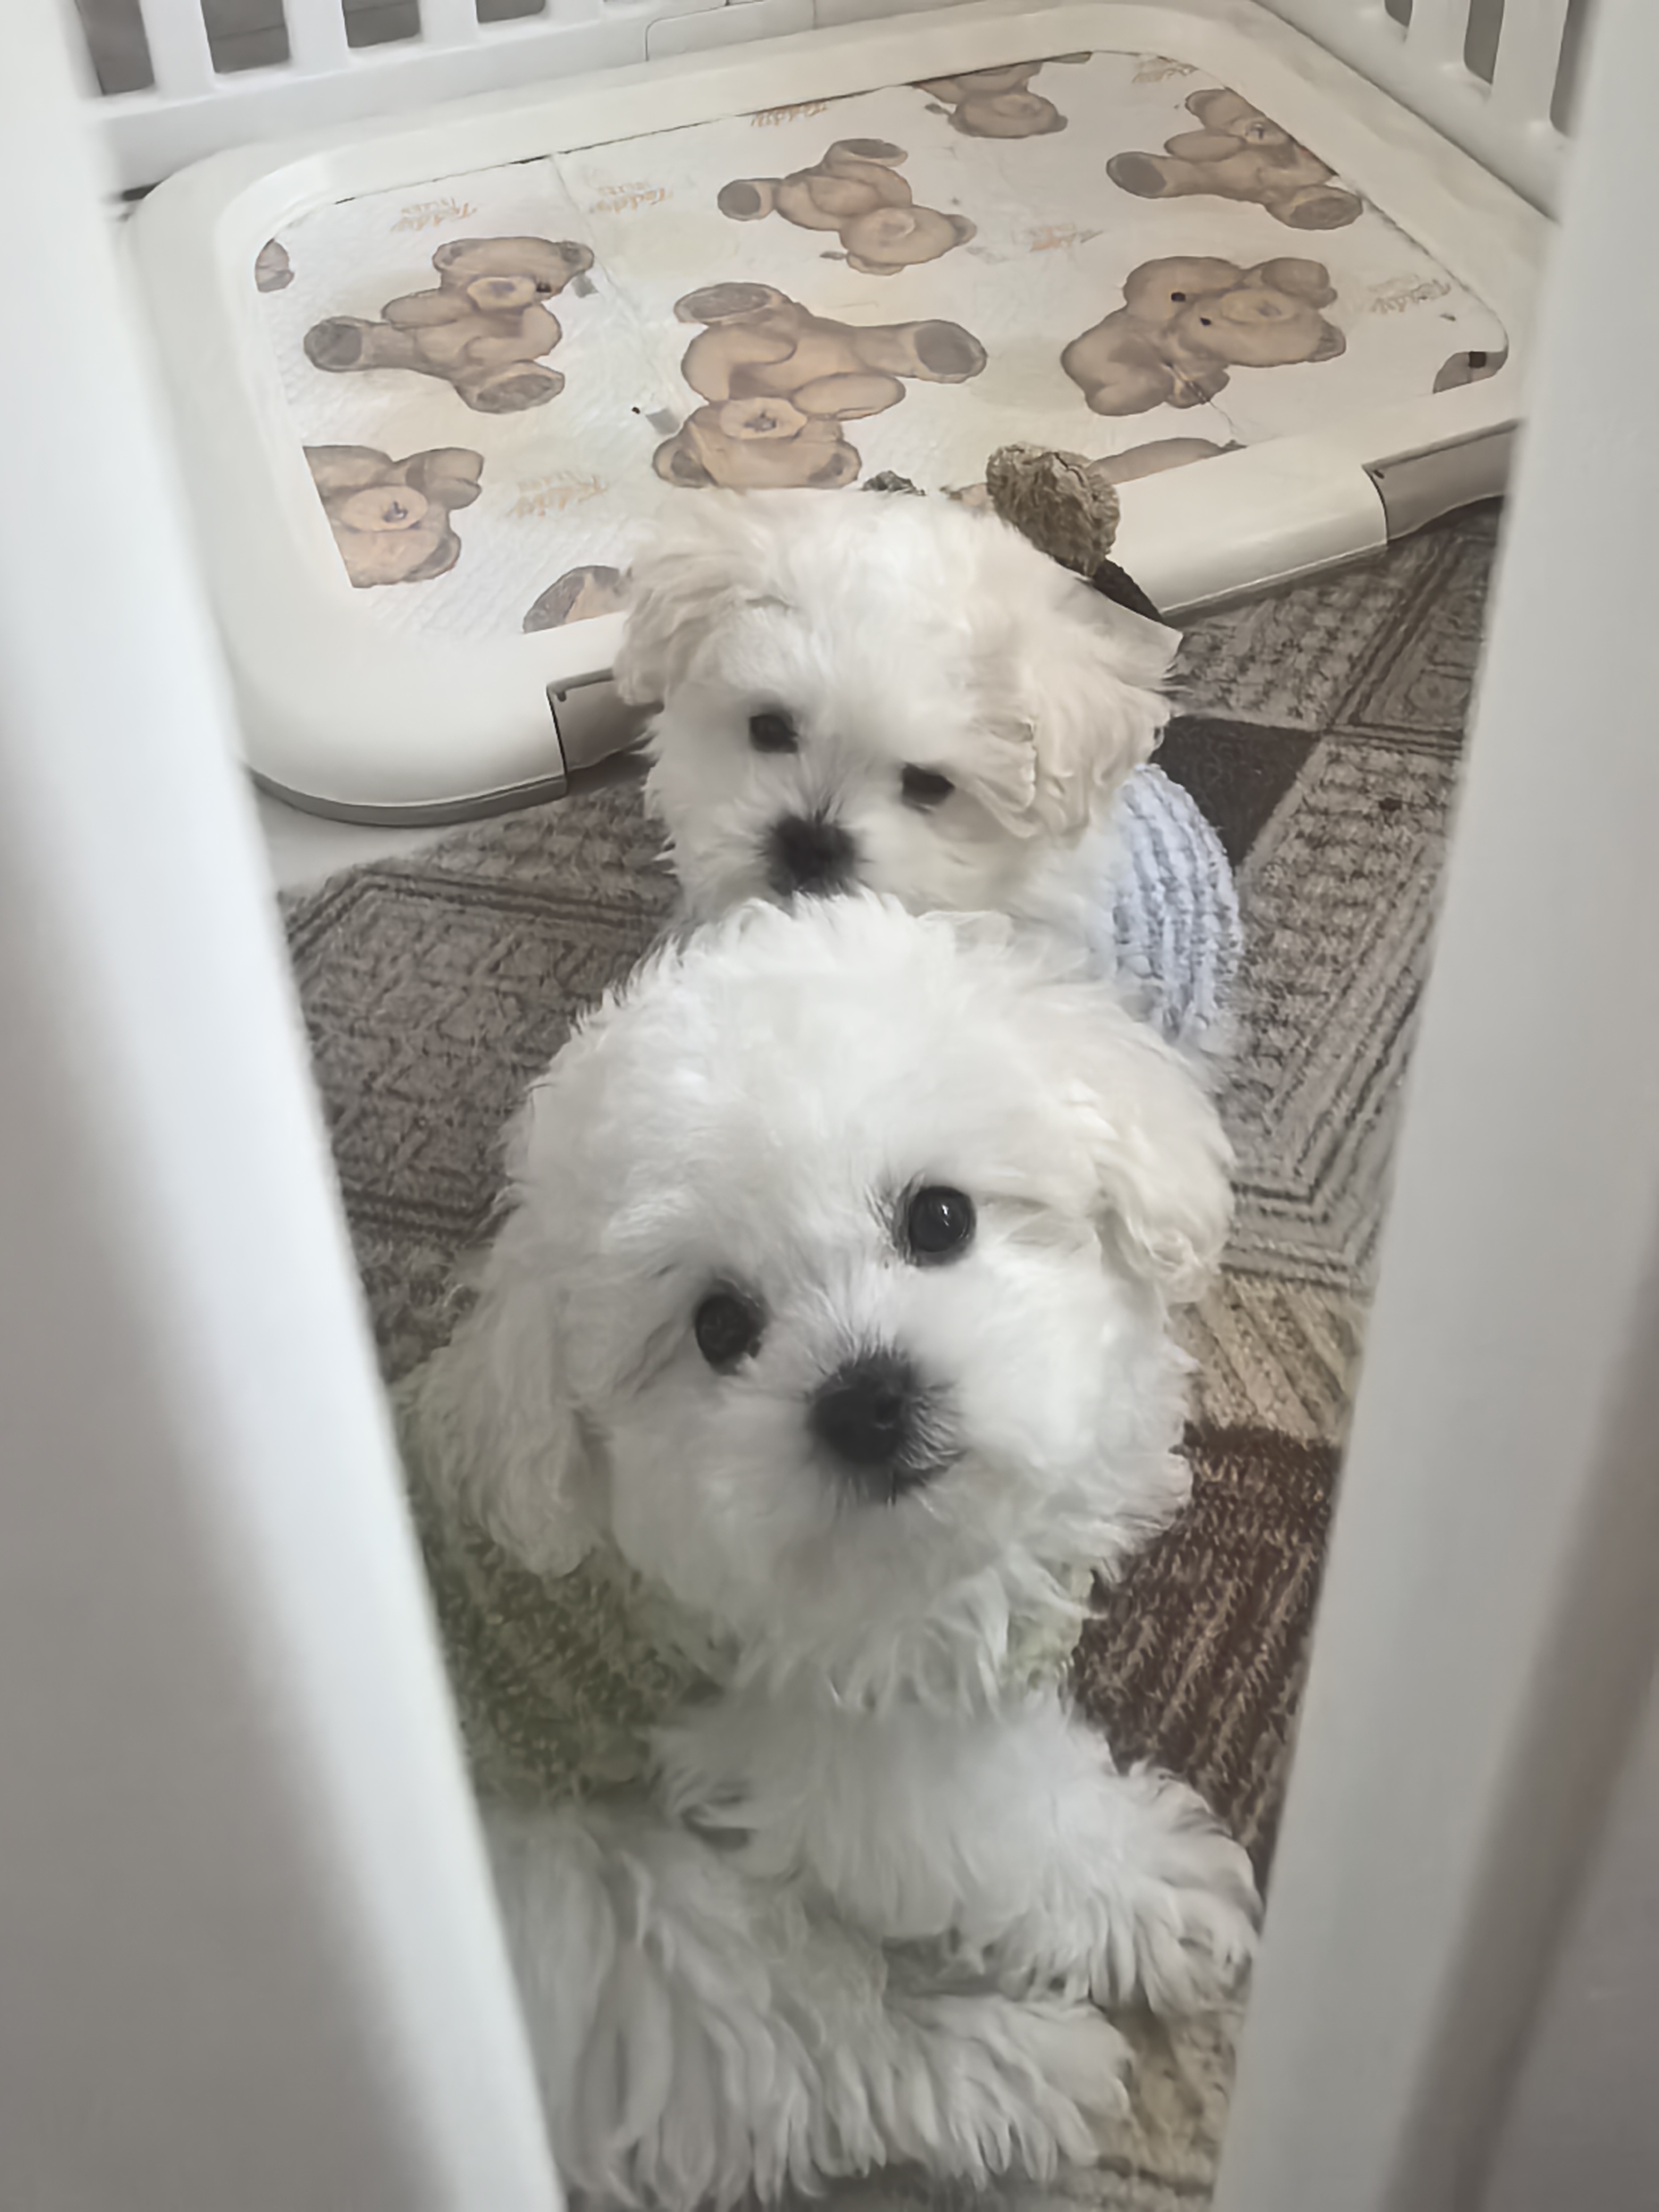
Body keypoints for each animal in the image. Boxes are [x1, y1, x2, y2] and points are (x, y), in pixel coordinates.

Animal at [409, 894, 1259, 2211]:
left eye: (940, 1218)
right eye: (719, 1327)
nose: (867, 1397)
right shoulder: (861, 1748)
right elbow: (1013, 1827)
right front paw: (1148, 1886)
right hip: (601, 1913)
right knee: (794, 2041)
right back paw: (1012, 2065)